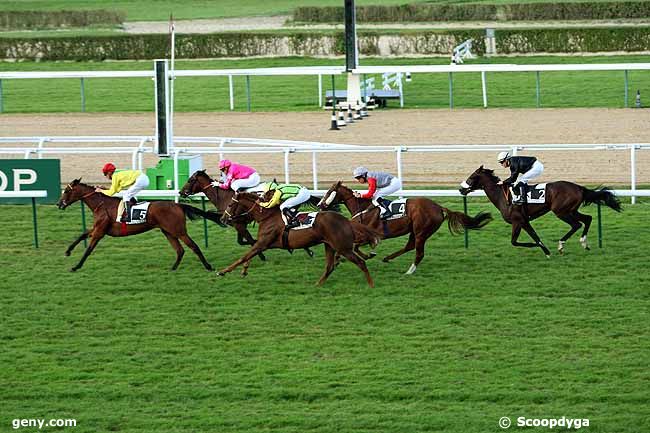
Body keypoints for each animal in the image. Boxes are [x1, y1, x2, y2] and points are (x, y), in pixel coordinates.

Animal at [56, 177, 218, 272]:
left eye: (67, 191)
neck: (101, 205)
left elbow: (88, 250)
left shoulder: (99, 232)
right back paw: (173, 268)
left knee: (193, 247)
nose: (59, 204)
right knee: (180, 250)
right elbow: (82, 234)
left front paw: (76, 266)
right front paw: (68, 251)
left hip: (179, 231)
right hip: (168, 231)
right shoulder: (97, 228)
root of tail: (178, 205)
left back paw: (208, 267)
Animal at [219, 192, 380, 286]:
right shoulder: (264, 243)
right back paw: (317, 285)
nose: (223, 218)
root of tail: (345, 220)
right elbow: (249, 256)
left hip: (343, 247)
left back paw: (371, 285)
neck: (267, 216)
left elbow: (244, 257)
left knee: (360, 262)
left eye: (231, 204)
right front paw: (244, 271)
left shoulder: (263, 242)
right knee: (330, 267)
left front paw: (223, 271)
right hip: (330, 245)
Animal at [316, 181, 488, 276]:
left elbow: (355, 247)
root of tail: (439, 207)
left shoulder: (370, 235)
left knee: (419, 253)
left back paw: (409, 271)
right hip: (415, 231)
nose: (319, 205)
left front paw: (368, 255)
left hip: (421, 231)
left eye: (329, 192)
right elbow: (349, 247)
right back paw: (388, 258)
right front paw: (338, 259)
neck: (363, 209)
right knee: (410, 246)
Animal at [454, 165, 620, 253]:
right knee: (587, 219)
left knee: (576, 224)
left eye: (471, 177)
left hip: (561, 211)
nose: (461, 189)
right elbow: (534, 236)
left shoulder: (518, 220)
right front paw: (544, 249)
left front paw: (541, 248)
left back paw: (561, 244)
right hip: (572, 210)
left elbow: (515, 241)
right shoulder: (524, 221)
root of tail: (579, 187)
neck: (502, 195)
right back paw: (584, 242)